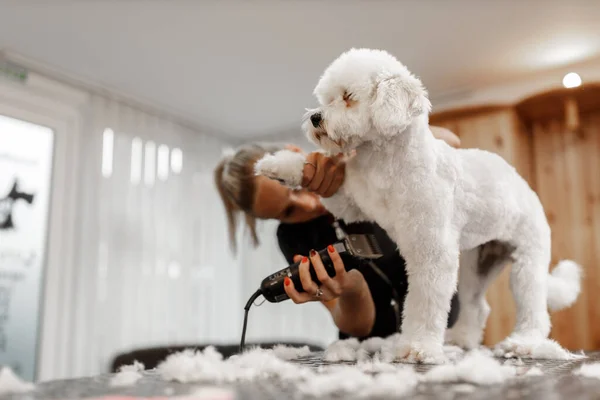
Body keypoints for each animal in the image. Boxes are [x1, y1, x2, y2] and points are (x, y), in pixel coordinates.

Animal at [256, 47, 580, 362]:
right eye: (327, 98)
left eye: (348, 97)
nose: (315, 117)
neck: (385, 164)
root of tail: (522, 184)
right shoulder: (352, 201)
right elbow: (316, 178)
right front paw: (279, 166)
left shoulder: (432, 252)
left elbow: (425, 305)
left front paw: (417, 347)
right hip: (477, 265)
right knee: (478, 307)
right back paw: (461, 339)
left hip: (527, 262)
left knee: (534, 308)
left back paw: (522, 344)